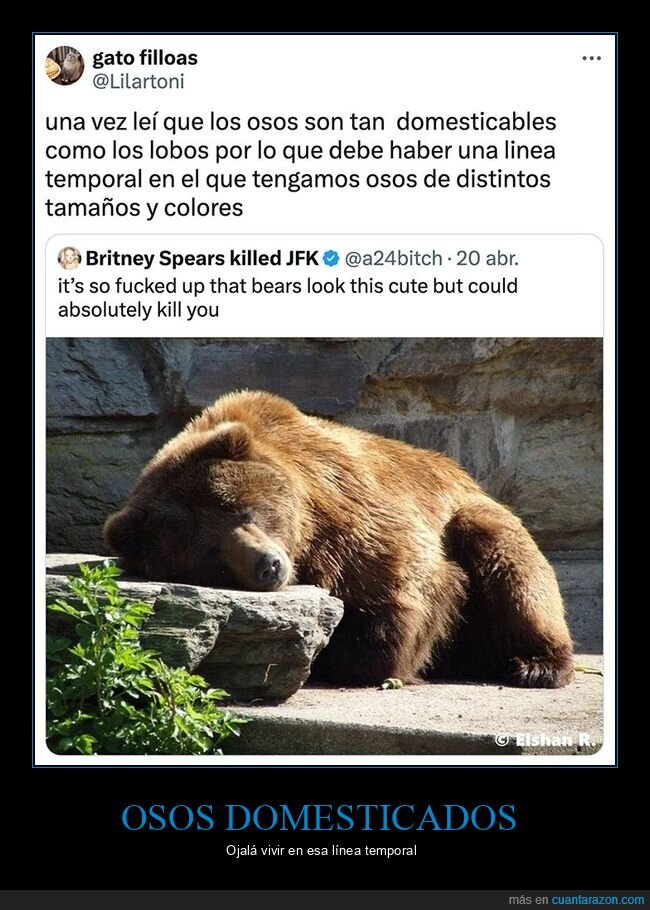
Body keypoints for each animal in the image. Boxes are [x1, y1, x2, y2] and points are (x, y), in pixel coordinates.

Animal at [104, 390, 574, 689]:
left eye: (244, 511)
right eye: (209, 551)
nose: (267, 565)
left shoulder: (350, 511)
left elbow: (397, 596)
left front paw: (358, 656)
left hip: (473, 514)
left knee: (509, 562)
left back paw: (536, 666)